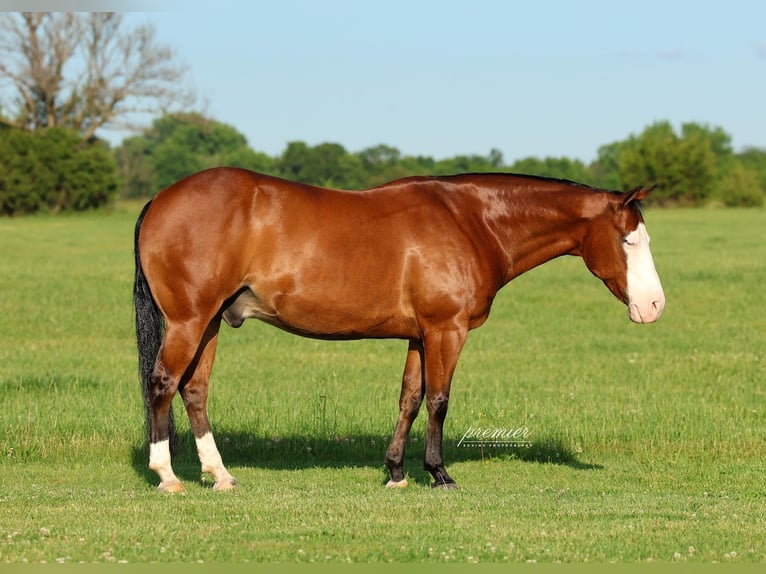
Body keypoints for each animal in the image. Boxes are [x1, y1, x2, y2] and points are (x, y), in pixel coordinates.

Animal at [133, 168, 665, 493]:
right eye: (628, 239)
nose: (654, 306)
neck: (471, 221)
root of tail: (160, 198)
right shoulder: (447, 331)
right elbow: (439, 400)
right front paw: (439, 473)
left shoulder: (419, 335)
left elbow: (410, 397)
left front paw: (395, 471)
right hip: (189, 321)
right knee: (163, 383)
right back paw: (168, 476)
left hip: (210, 323)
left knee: (194, 390)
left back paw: (219, 474)